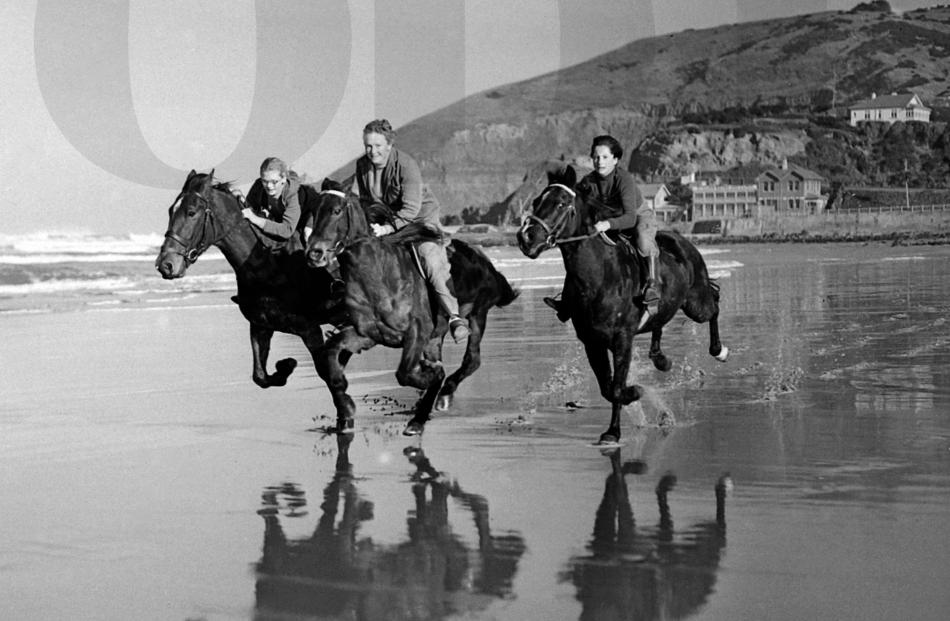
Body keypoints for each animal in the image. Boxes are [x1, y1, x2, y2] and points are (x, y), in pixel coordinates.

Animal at [156, 168, 346, 392]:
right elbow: (260, 376)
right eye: (171, 211)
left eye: (191, 213)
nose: (166, 265)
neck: (267, 264)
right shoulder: (260, 326)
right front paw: (286, 366)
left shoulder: (310, 330)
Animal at [306, 177, 520, 434]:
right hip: (436, 336)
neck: (378, 276)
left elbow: (405, 373)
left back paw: (442, 395)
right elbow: (331, 355)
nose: (314, 253)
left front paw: (429, 379)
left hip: (478, 314)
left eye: (336, 210)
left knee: (472, 359)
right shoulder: (369, 334)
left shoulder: (417, 331)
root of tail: (483, 260)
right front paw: (345, 411)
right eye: (313, 210)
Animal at [520, 167, 728, 444]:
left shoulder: (622, 339)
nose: (526, 238)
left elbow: (617, 388)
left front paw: (628, 406)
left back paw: (719, 350)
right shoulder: (592, 342)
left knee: (714, 303)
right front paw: (620, 420)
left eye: (562, 203)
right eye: (536, 202)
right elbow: (608, 389)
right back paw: (661, 359)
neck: (600, 276)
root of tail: (681, 240)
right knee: (660, 320)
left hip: (696, 303)